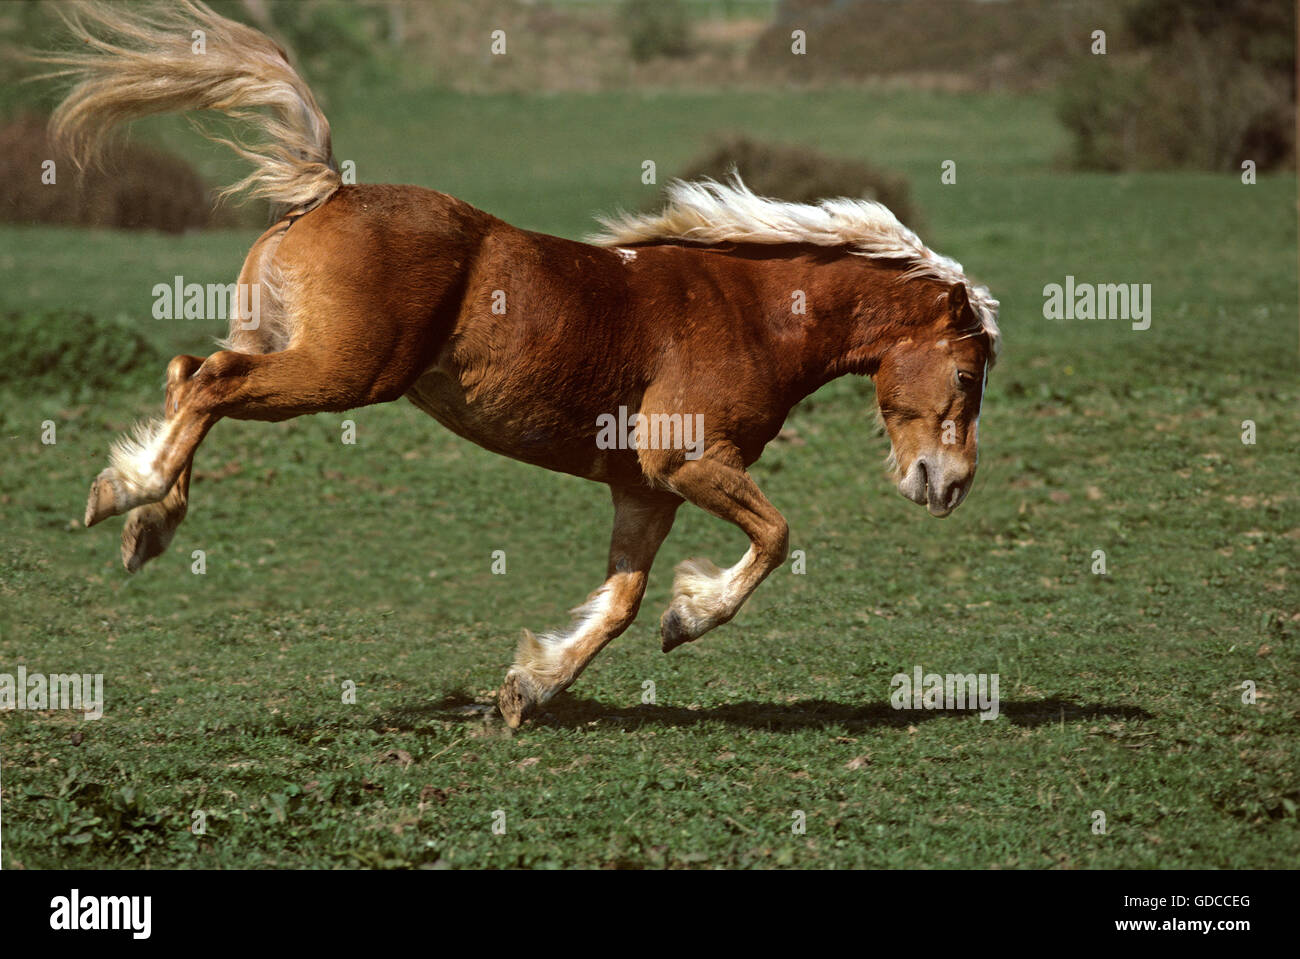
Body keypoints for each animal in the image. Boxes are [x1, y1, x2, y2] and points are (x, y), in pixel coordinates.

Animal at [38, 0, 993, 722]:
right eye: (967, 375)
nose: (948, 485)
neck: (750, 311)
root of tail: (328, 189)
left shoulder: (644, 487)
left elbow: (621, 602)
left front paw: (528, 688)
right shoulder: (686, 459)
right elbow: (775, 536)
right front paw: (689, 618)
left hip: (282, 344)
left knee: (186, 373)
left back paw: (146, 521)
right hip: (341, 373)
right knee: (209, 383)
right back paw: (128, 500)